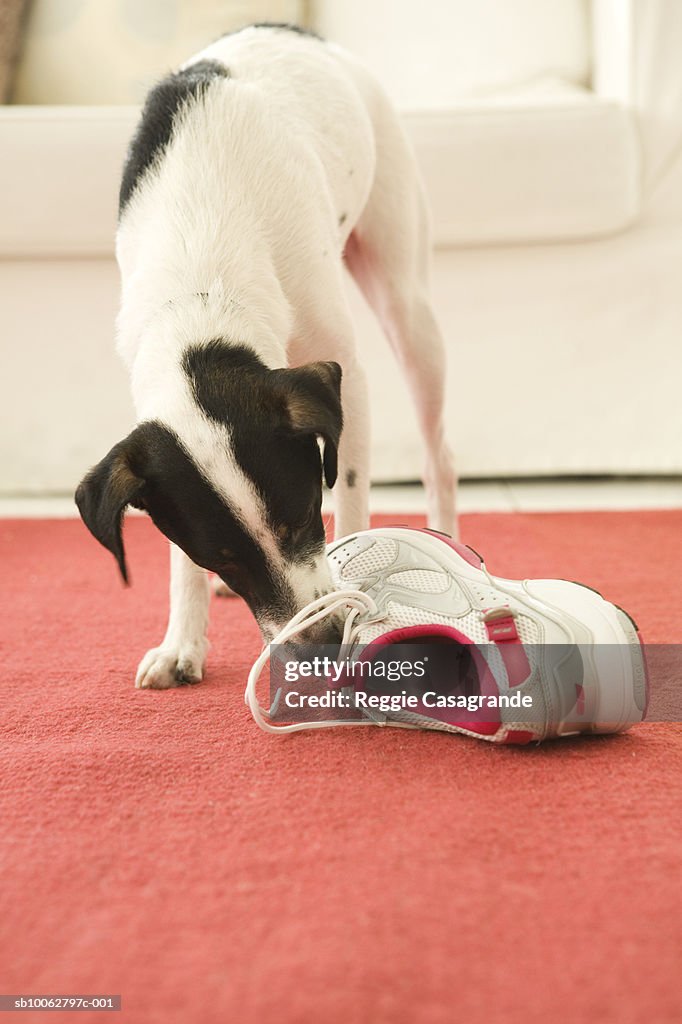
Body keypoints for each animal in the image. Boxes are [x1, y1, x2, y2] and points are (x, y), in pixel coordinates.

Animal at [74, 22, 454, 688]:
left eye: (302, 517)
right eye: (221, 557)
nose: (321, 642)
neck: (203, 276)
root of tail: (287, 30)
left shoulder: (346, 379)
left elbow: (351, 496)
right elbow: (179, 562)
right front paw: (182, 640)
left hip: (409, 306)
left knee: (440, 456)